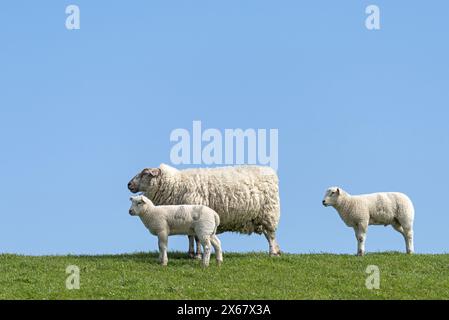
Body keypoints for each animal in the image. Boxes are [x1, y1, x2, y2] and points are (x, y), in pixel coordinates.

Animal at [127, 164, 280, 256]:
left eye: (145, 173)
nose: (128, 184)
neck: (176, 184)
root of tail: (270, 171)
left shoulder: (197, 215)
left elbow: (196, 238)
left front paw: (198, 255)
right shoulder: (186, 217)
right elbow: (190, 236)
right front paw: (190, 253)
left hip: (268, 212)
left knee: (271, 234)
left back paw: (273, 252)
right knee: (269, 235)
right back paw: (277, 251)